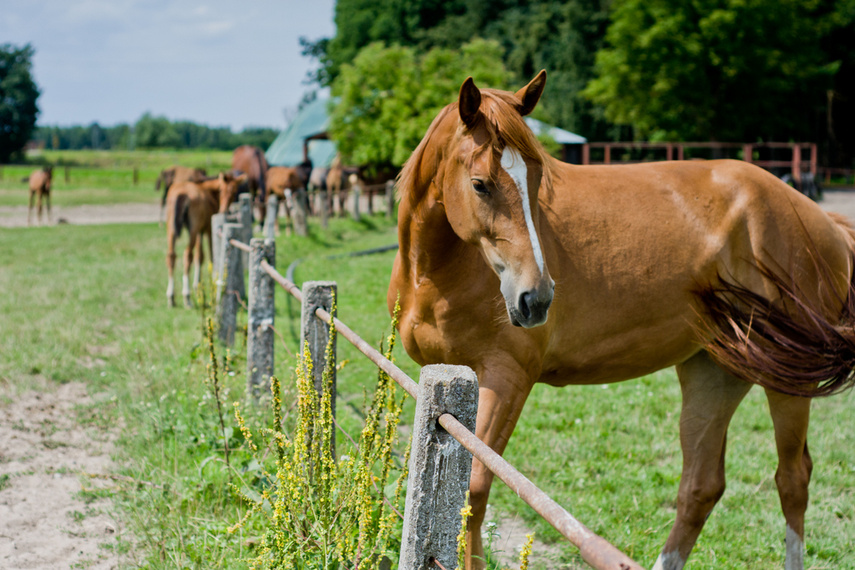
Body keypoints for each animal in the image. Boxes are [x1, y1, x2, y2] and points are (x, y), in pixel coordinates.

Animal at [166, 172, 244, 308]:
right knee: (187, 255)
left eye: (234, 192)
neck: (210, 193)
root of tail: (181, 193)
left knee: (171, 256)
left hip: (171, 229)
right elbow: (210, 255)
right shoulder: (207, 229)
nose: (223, 210)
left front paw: (197, 286)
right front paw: (213, 280)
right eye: (222, 190)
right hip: (193, 229)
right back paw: (187, 297)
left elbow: (200, 256)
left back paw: (171, 297)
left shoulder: (200, 232)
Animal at [392, 70, 855, 568]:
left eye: (537, 180)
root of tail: (820, 219)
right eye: (480, 184)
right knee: (701, 487)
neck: (437, 273)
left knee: (792, 479)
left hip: (788, 381)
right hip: (714, 372)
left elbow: (474, 494)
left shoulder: (506, 378)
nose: (536, 297)